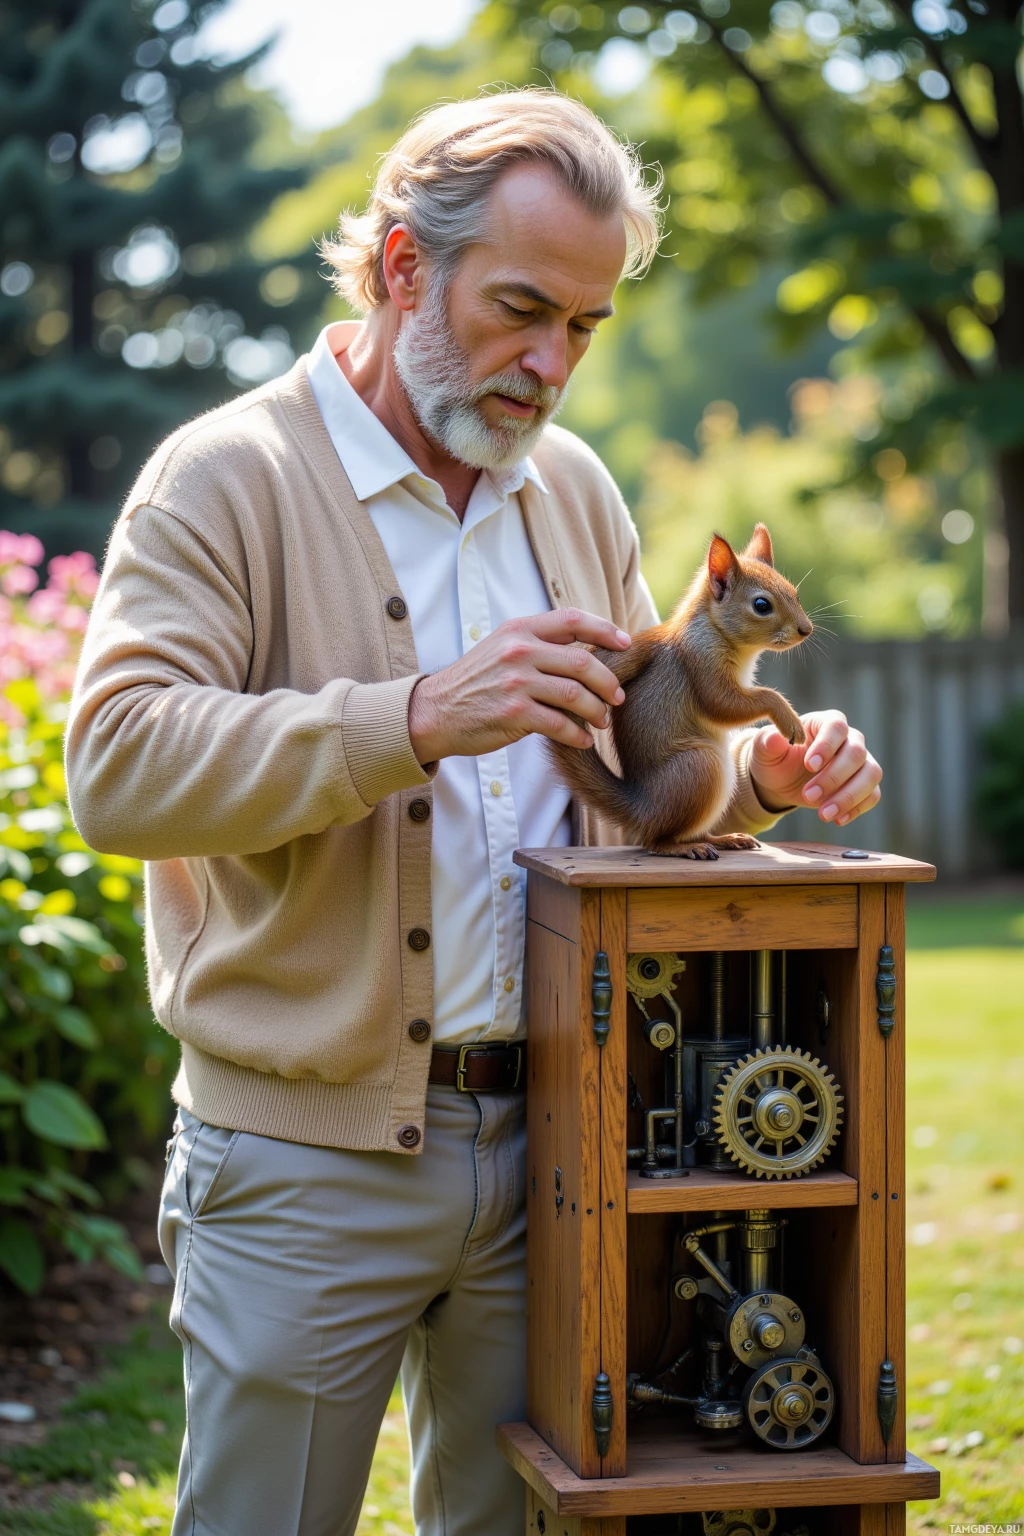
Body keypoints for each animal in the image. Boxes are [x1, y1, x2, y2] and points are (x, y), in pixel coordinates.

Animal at [548, 523, 813, 859]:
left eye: (795, 593)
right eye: (761, 605)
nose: (807, 630)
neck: (716, 630)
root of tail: (642, 808)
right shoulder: (700, 661)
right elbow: (724, 704)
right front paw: (790, 719)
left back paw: (724, 839)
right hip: (700, 767)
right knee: (656, 841)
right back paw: (684, 847)